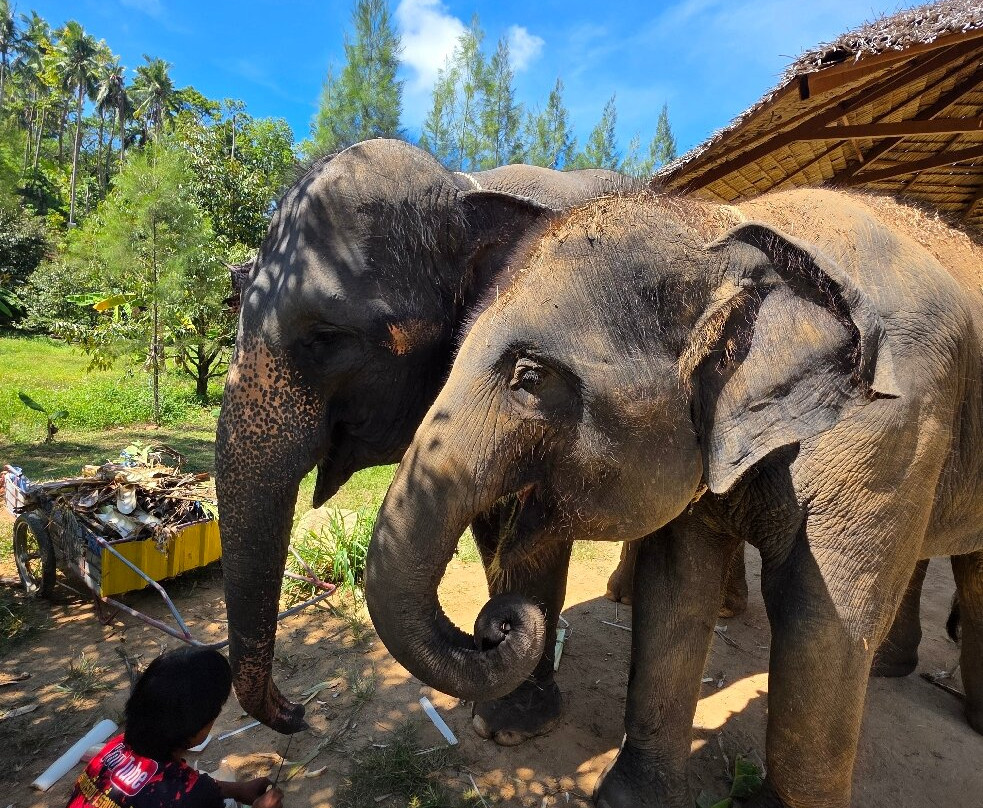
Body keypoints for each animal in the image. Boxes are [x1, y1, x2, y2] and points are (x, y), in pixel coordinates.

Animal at [214, 137, 641, 737]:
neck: (465, 186)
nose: (300, 711)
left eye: (327, 338)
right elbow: (495, 520)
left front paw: (515, 725)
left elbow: (534, 525)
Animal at [364, 188, 983, 808]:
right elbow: (675, 588)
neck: (727, 228)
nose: (501, 623)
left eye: (531, 377)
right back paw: (888, 671)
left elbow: (822, 624)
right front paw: (627, 799)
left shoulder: (888, 425)